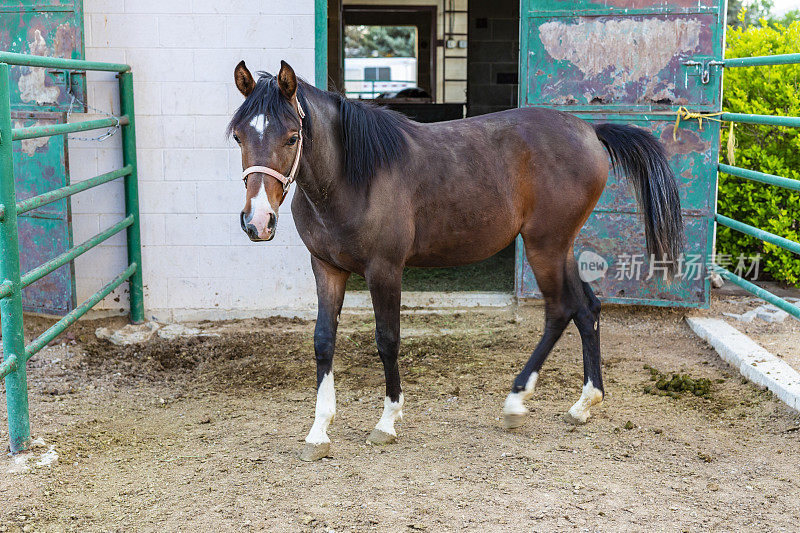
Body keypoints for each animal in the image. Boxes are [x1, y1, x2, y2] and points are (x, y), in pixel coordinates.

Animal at [228, 60, 684, 460]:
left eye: (292, 137)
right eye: (238, 137)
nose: (258, 221)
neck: (353, 175)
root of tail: (590, 129)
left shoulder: (385, 269)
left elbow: (387, 340)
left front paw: (387, 421)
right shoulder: (327, 267)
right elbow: (324, 341)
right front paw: (319, 432)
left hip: (545, 244)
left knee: (561, 309)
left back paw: (516, 401)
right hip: (561, 245)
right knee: (587, 308)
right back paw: (585, 403)